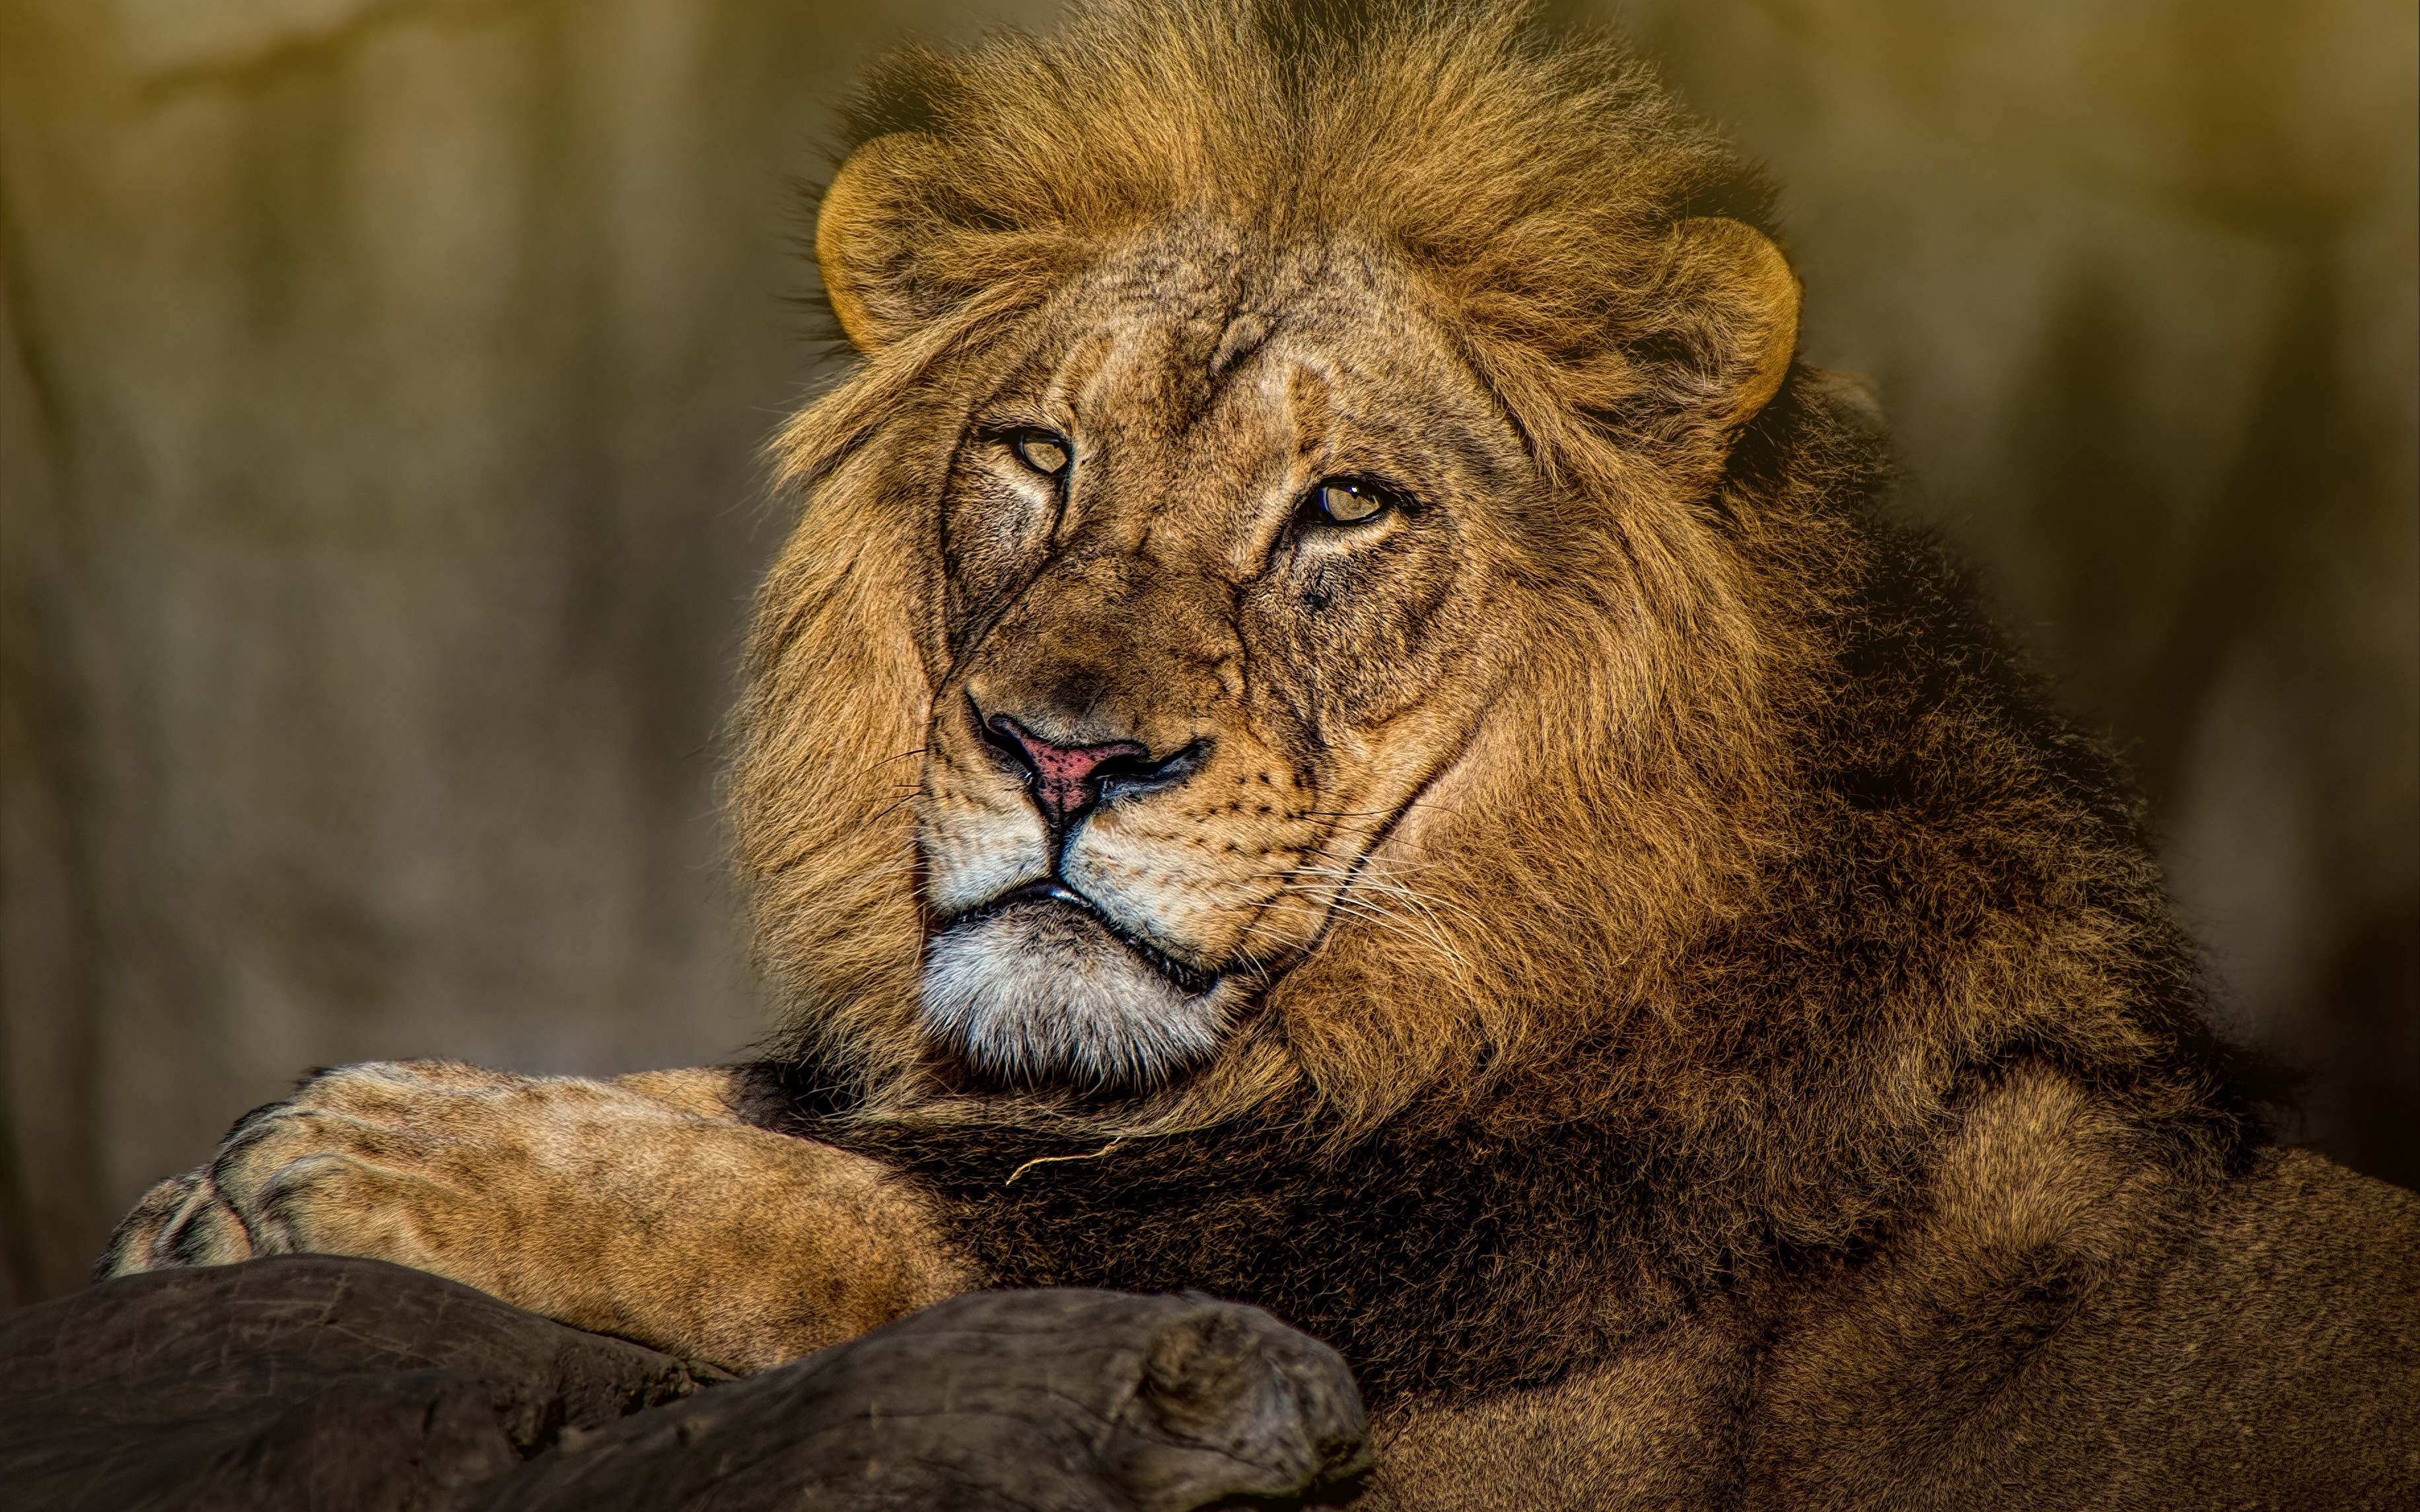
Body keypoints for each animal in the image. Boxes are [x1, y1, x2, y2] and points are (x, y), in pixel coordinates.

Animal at [94, 5, 2420, 1499]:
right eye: (1038, 454)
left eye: (1347, 509)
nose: (1057, 757)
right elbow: (790, 1105)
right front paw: (221, 1179)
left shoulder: (1359, 1339)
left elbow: (859, 1209)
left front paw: (362, 1155)